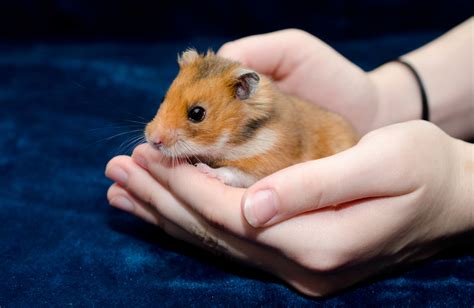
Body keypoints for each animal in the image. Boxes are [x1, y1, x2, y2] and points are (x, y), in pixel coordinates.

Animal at [146, 50, 358, 188]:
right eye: (163, 99)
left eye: (197, 113)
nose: (153, 141)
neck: (236, 140)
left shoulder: (265, 166)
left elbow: (233, 172)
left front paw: (204, 170)